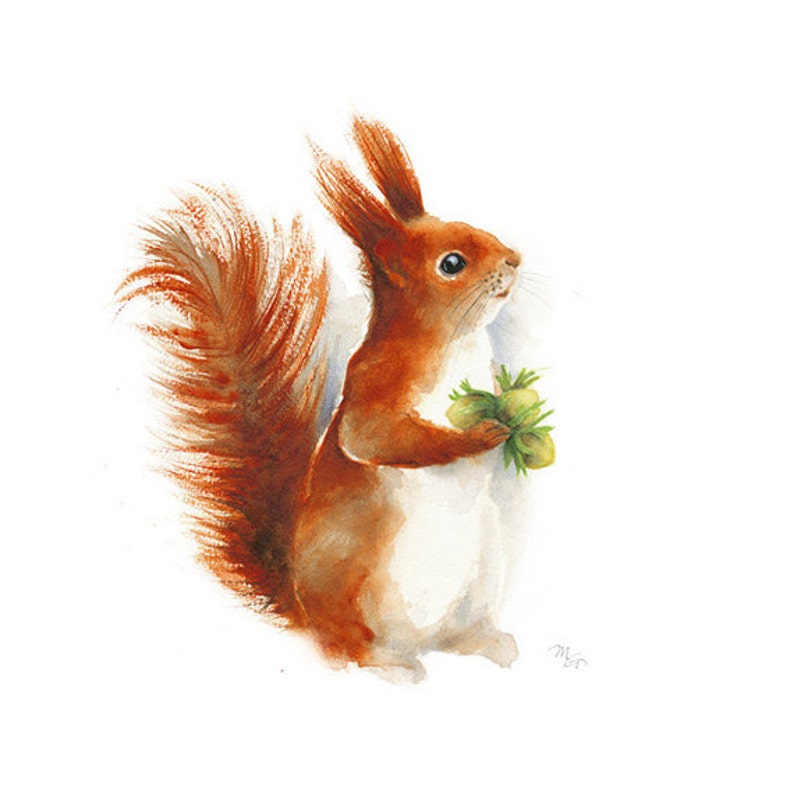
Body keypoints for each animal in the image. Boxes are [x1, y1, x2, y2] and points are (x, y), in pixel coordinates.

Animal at [118, 117, 524, 681]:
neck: (456, 341)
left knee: (454, 634)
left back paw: (486, 642)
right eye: (451, 264)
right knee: (345, 646)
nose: (515, 259)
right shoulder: (376, 385)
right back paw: (390, 666)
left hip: (483, 575)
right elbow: (377, 436)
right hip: (356, 585)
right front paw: (478, 437)